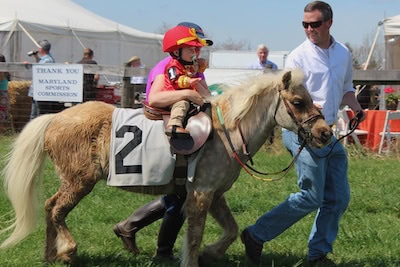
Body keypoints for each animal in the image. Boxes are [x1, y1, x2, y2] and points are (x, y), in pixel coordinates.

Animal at [0, 69, 332, 267]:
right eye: (298, 102)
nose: (325, 133)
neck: (225, 132)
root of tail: (54, 118)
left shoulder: (214, 194)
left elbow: (230, 230)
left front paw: (211, 253)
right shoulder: (201, 194)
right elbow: (195, 236)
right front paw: (194, 258)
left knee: (49, 207)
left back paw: (50, 254)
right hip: (79, 181)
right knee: (56, 209)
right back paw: (67, 250)